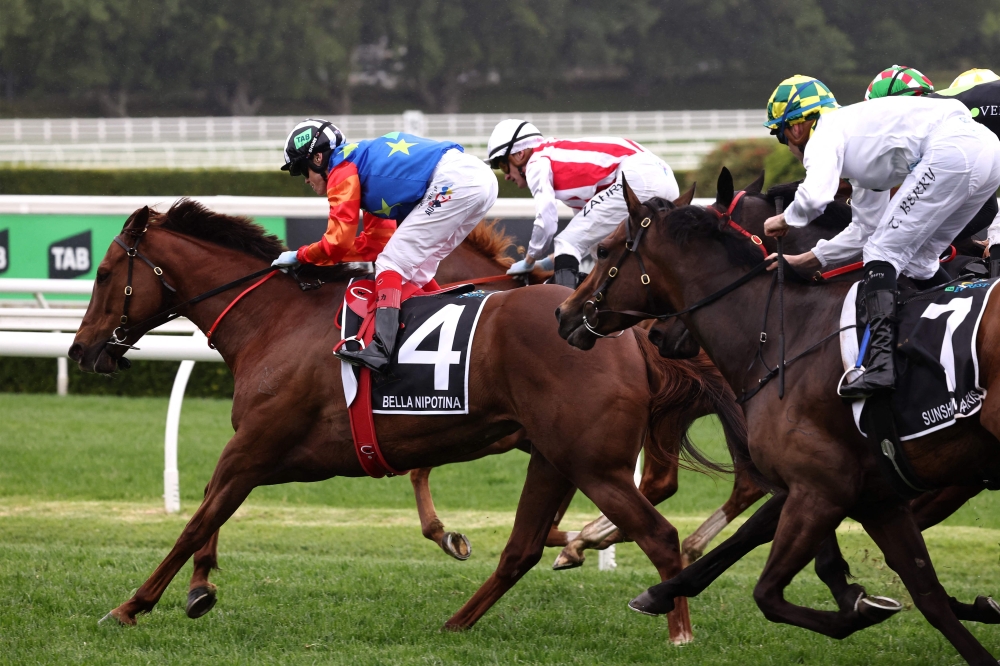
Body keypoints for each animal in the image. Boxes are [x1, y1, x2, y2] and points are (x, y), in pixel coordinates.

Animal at [72, 200, 728, 640]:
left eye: (102, 275)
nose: (81, 351)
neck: (274, 319)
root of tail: (610, 330)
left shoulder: (256, 446)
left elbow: (196, 520)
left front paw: (133, 604)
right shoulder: (282, 456)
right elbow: (211, 507)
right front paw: (199, 587)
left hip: (593, 462)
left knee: (660, 536)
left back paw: (677, 628)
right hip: (556, 456)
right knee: (522, 549)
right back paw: (460, 621)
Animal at [556, 179, 1000, 660]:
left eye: (602, 250)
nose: (564, 314)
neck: (793, 334)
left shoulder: (823, 487)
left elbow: (766, 578)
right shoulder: (874, 492)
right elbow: (927, 592)